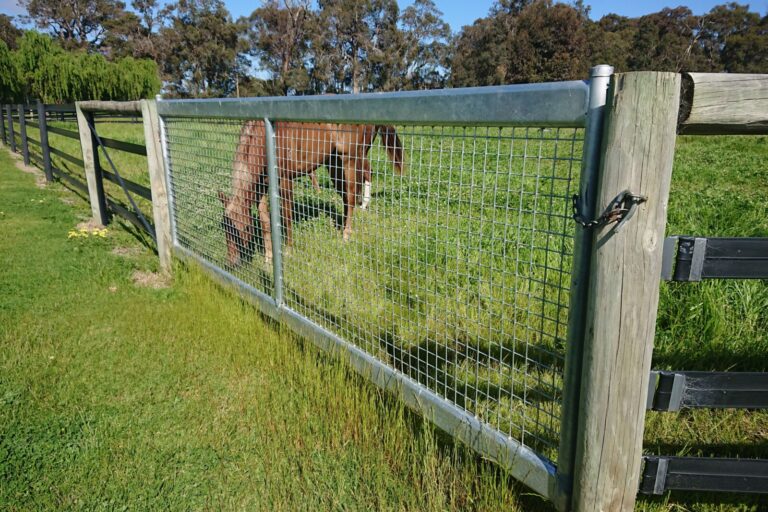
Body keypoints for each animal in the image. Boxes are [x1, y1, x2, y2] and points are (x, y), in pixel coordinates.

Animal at [218, 121, 405, 266]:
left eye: (244, 228)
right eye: (225, 228)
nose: (231, 263)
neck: (264, 140)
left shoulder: (285, 181)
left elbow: (287, 217)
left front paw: (289, 250)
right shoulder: (260, 188)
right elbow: (265, 223)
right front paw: (268, 259)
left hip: (351, 159)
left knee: (354, 192)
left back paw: (347, 234)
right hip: (334, 163)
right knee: (346, 196)